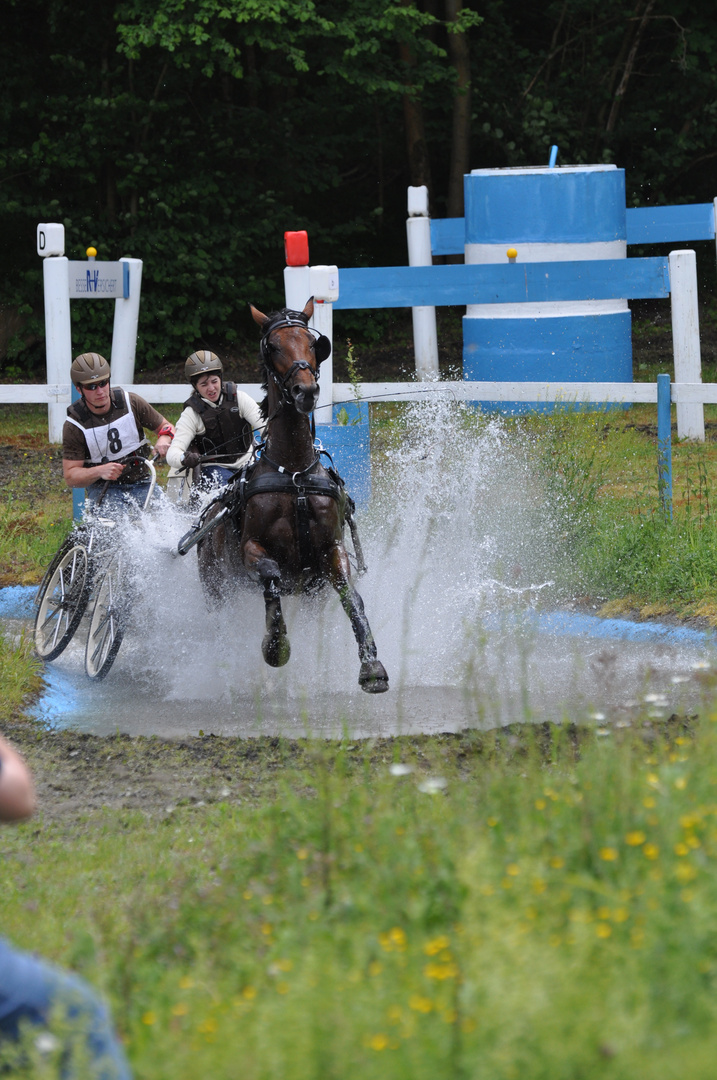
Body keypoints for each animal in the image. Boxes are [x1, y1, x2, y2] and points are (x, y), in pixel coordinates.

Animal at [184, 300, 386, 695]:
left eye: (313, 344)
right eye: (273, 346)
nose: (306, 390)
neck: (293, 475)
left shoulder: (331, 552)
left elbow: (351, 596)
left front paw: (371, 664)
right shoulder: (251, 550)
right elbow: (271, 577)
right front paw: (275, 646)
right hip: (217, 589)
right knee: (225, 624)